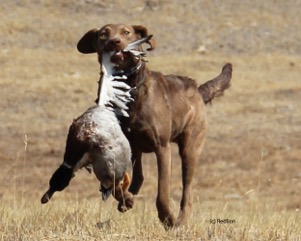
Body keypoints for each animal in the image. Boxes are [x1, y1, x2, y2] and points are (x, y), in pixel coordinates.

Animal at [76, 24, 231, 228]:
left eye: (126, 32)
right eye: (103, 34)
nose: (114, 42)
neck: (130, 90)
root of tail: (198, 90)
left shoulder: (162, 148)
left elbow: (162, 192)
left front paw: (168, 219)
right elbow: (117, 181)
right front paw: (126, 198)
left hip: (190, 148)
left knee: (187, 192)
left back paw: (180, 221)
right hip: (137, 148)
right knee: (139, 175)